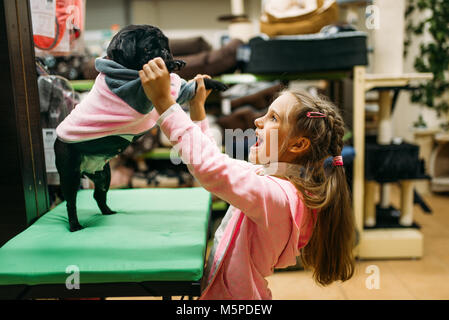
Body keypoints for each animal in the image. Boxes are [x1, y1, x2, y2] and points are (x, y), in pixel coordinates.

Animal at [53, 24, 226, 230]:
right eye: (148, 48)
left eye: (165, 45)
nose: (165, 52)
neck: (123, 69)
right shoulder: (139, 93)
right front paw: (170, 65)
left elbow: (188, 85)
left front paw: (211, 82)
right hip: (69, 174)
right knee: (71, 202)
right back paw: (75, 226)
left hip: (104, 176)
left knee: (98, 195)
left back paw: (107, 212)